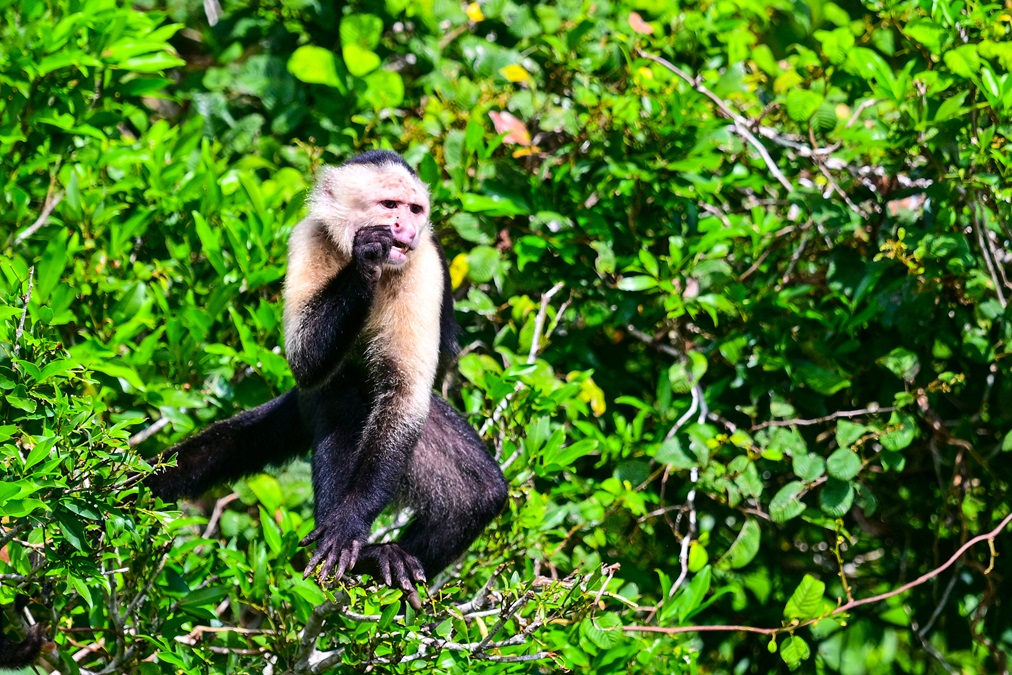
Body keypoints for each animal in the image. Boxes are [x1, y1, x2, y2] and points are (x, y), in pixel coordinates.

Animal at [146, 151, 508, 608]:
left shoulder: (421, 263)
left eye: (415, 210)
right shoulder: (308, 236)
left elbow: (404, 394)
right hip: (310, 401)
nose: (405, 227)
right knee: (337, 395)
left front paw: (349, 524)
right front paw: (365, 261)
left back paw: (377, 554)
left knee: (477, 493)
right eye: (390, 205)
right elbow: (305, 361)